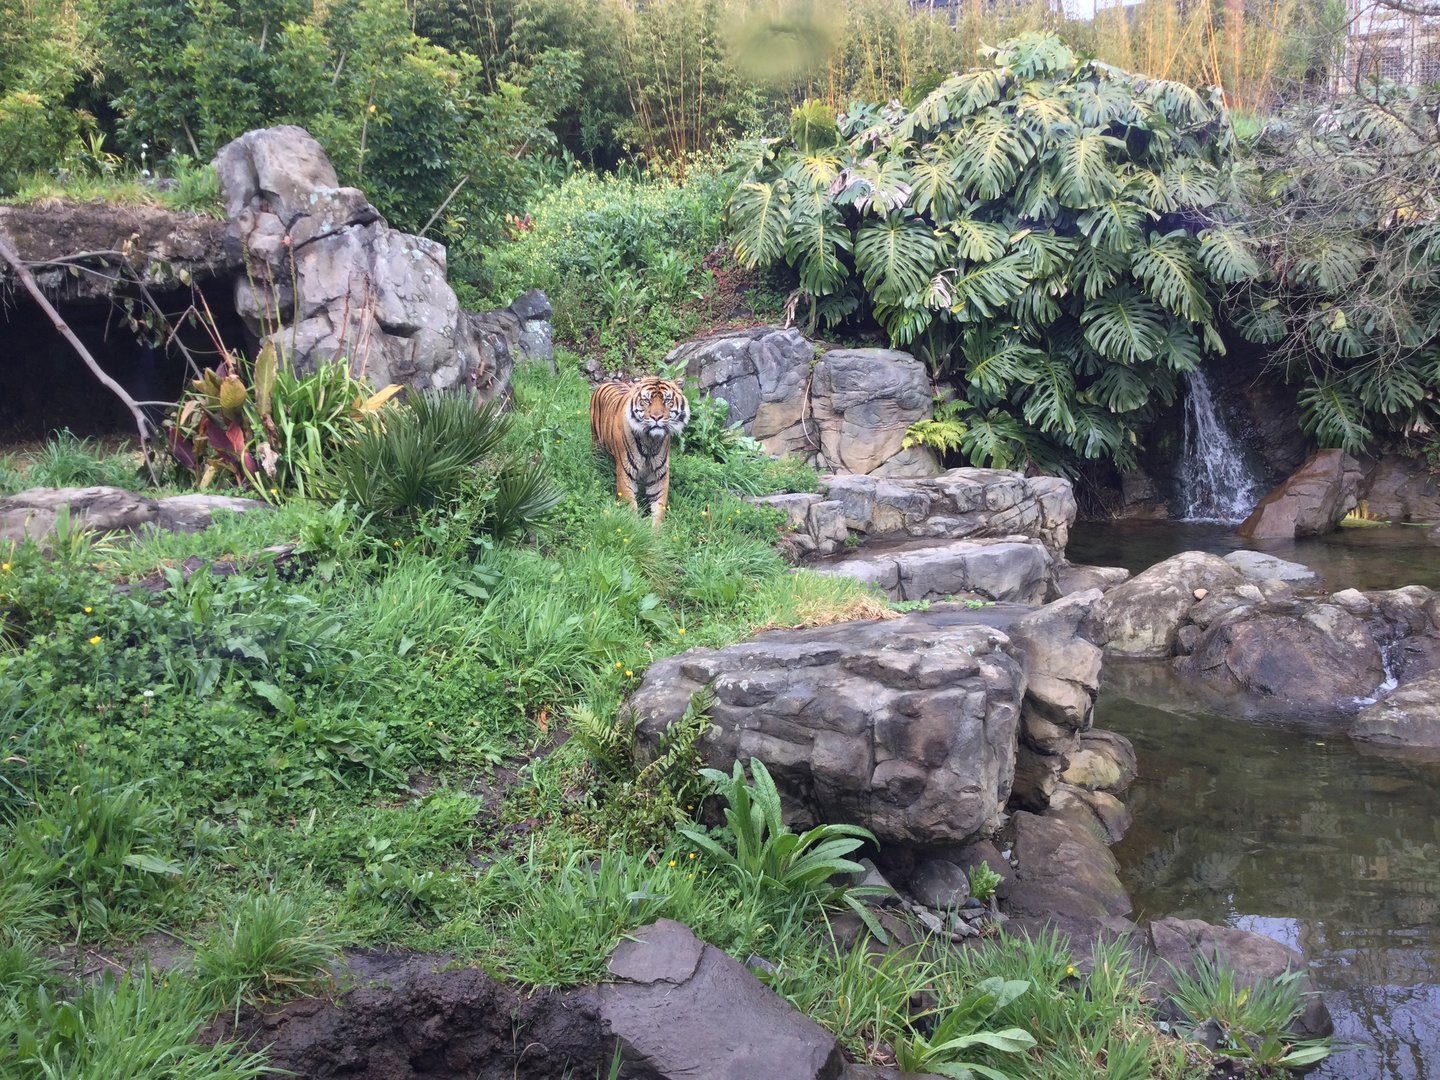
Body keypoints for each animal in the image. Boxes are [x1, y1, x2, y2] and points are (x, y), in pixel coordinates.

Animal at [590, 377, 690, 526]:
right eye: (646, 400)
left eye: (667, 400)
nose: (656, 417)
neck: (650, 441)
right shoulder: (626, 472)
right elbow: (630, 504)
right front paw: (634, 526)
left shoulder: (659, 476)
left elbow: (659, 507)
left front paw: (655, 530)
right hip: (596, 443)